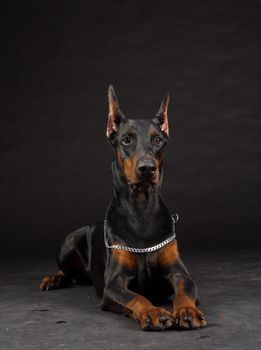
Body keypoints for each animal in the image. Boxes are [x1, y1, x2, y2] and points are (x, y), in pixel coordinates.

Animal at [39, 87, 205, 330]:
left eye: (158, 140)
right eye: (126, 140)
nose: (147, 168)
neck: (141, 212)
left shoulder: (179, 272)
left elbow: (184, 291)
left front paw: (186, 310)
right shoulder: (114, 284)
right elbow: (137, 297)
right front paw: (153, 312)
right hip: (68, 243)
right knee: (66, 271)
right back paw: (54, 278)